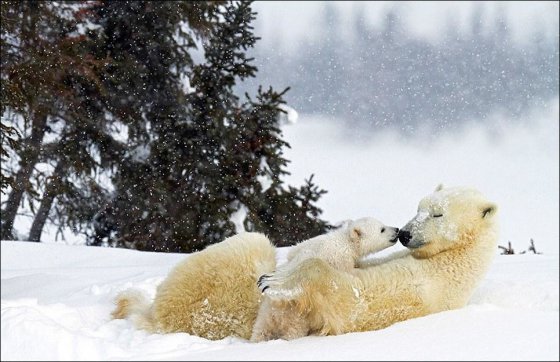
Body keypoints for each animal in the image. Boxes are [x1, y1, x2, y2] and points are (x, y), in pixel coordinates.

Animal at [252, 218, 400, 342]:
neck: (346, 241)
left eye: (383, 224)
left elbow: (294, 251)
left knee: (260, 329)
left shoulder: (308, 244)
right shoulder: (340, 258)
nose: (397, 229)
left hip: (266, 315)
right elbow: (346, 273)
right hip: (296, 316)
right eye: (382, 229)